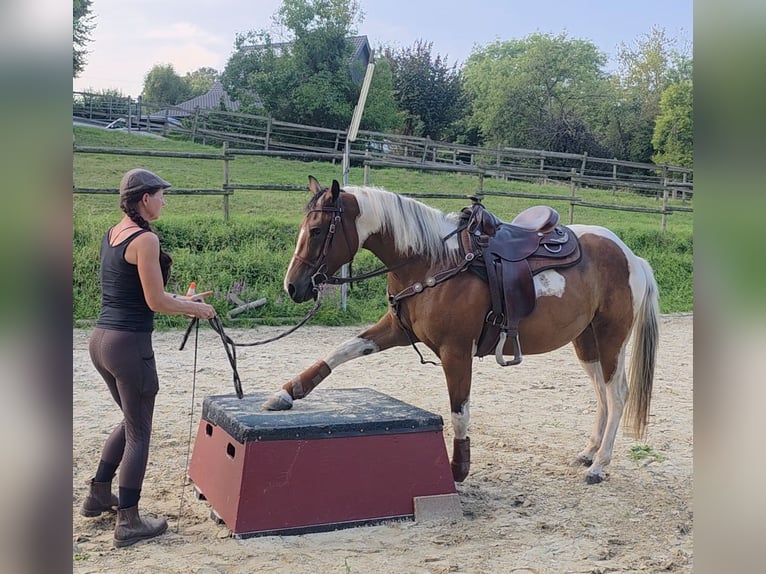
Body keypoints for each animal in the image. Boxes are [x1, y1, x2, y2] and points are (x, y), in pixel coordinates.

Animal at [262, 176, 660, 484]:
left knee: (617, 394)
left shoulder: (456, 351)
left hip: (610, 339)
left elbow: (459, 410)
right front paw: (287, 393)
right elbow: (341, 350)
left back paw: (600, 465)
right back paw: (589, 452)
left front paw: (459, 468)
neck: (431, 261)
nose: (293, 287)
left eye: (316, 231)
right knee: (601, 394)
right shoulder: (397, 330)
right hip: (586, 342)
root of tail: (631, 255)